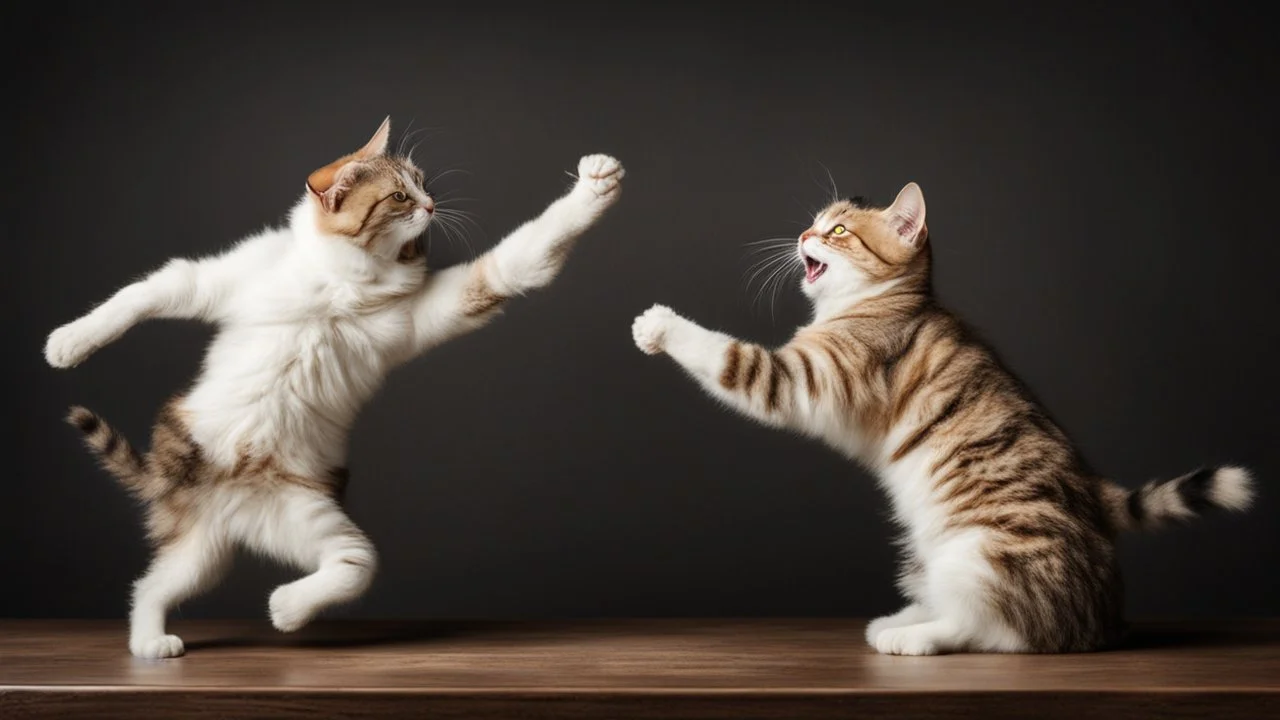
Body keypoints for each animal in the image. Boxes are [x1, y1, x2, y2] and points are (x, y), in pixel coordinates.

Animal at [47, 117, 627, 655]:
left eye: (421, 181)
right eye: (399, 195)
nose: (432, 204)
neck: (342, 281)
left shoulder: (441, 305)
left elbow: (519, 261)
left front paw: (594, 188)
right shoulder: (218, 281)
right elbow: (145, 293)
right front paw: (69, 343)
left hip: (290, 522)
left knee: (340, 566)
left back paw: (271, 612)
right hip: (227, 533)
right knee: (162, 585)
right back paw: (193, 632)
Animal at [634, 181, 1254, 653]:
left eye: (839, 231)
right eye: (816, 224)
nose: (805, 235)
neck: (879, 300)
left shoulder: (805, 379)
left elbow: (729, 356)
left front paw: (660, 325)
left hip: (981, 553)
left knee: (999, 629)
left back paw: (911, 637)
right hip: (926, 554)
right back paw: (904, 617)